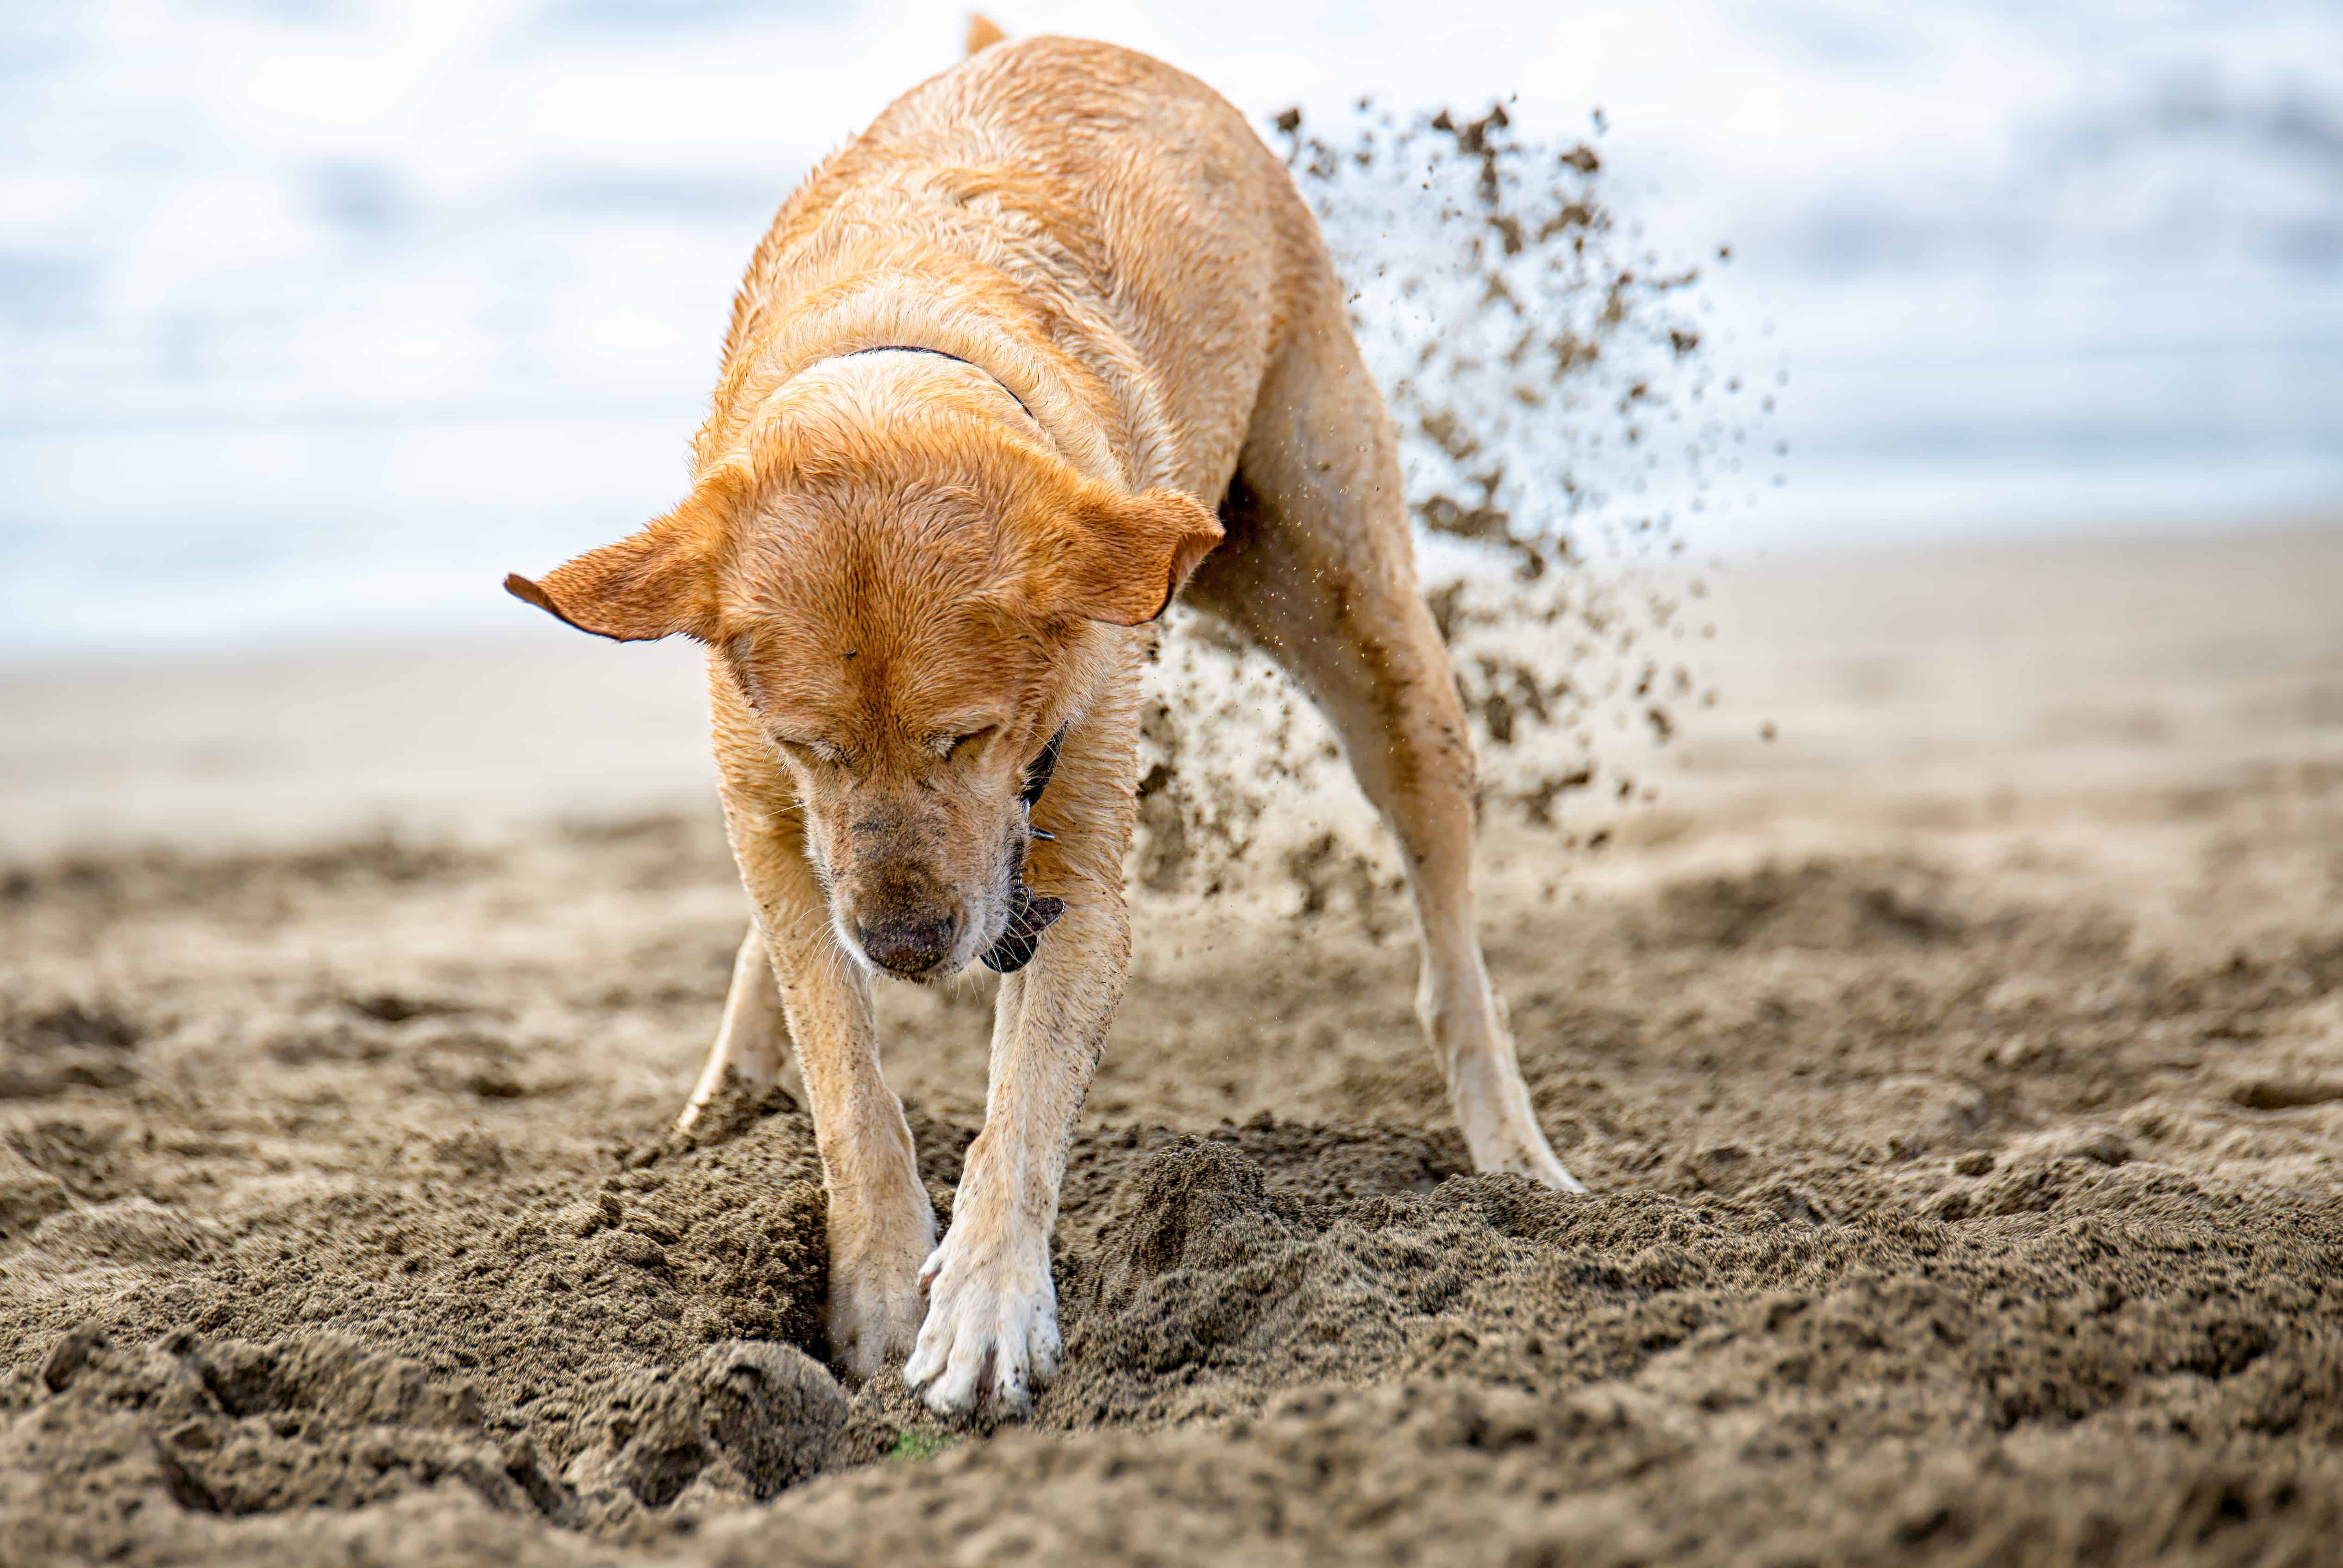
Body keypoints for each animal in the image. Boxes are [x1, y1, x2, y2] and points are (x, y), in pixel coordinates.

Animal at [503, 24, 1584, 1416]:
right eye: (811, 742)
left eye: (968, 735)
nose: (909, 945)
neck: (902, 346)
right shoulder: (776, 810)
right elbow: (843, 1075)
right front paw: (872, 1285)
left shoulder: (1075, 857)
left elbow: (1018, 1111)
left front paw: (982, 1303)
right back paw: (726, 1101)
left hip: (1363, 617)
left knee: (1449, 939)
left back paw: (1513, 1154)